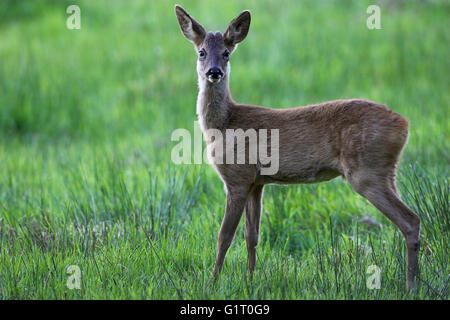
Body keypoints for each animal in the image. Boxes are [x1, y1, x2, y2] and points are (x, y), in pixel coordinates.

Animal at [174, 4, 420, 290]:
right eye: (201, 52)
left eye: (226, 53)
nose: (214, 72)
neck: (224, 124)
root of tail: (404, 124)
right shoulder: (256, 181)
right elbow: (251, 235)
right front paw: (250, 280)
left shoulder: (237, 176)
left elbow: (224, 235)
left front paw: (212, 282)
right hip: (387, 172)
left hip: (367, 172)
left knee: (410, 220)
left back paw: (411, 285)